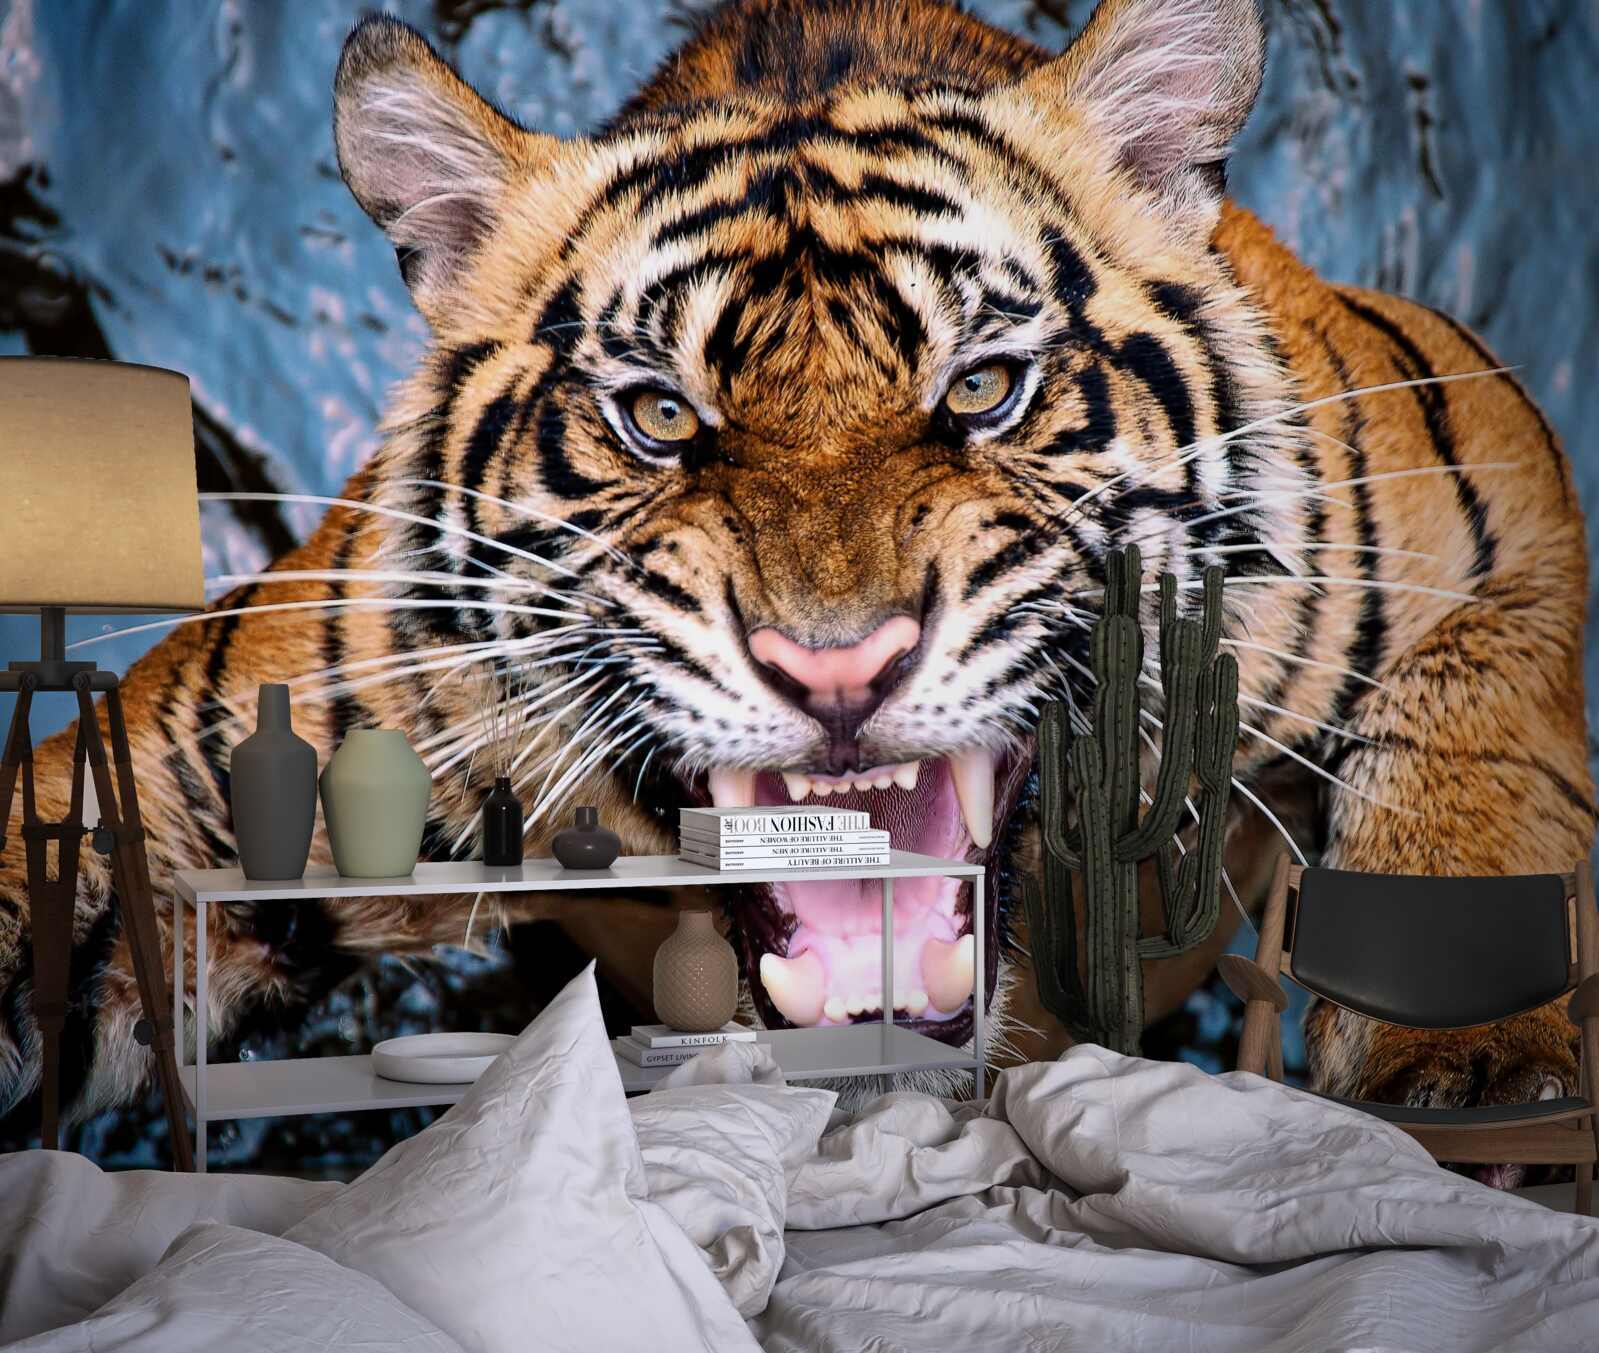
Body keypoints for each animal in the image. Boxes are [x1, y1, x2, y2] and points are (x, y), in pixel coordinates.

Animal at [0, 0, 1590, 1188]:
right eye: (657, 415)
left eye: (983, 390)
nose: (836, 668)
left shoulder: (1484, 474)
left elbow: (1477, 735)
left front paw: (1463, 1070)